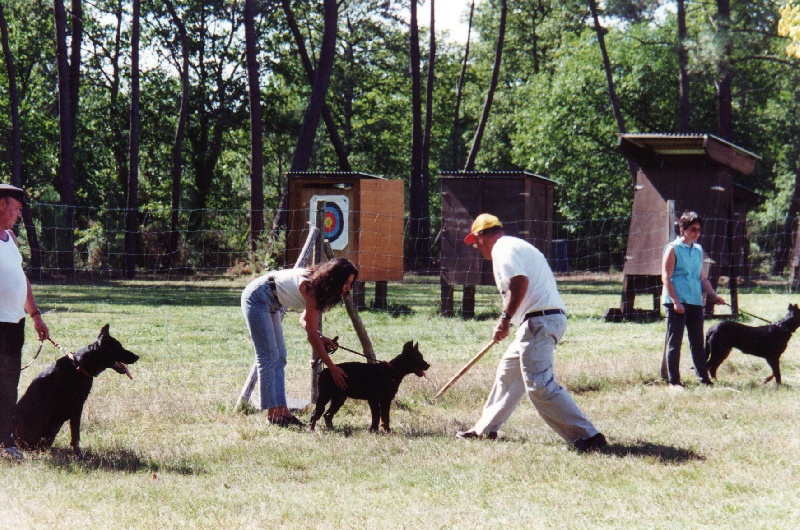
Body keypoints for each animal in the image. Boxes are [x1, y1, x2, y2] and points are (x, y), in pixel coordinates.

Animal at [14, 324, 138, 452]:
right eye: (119, 347)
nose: (137, 357)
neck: (79, 366)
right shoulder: (77, 406)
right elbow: (76, 436)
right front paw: (78, 454)